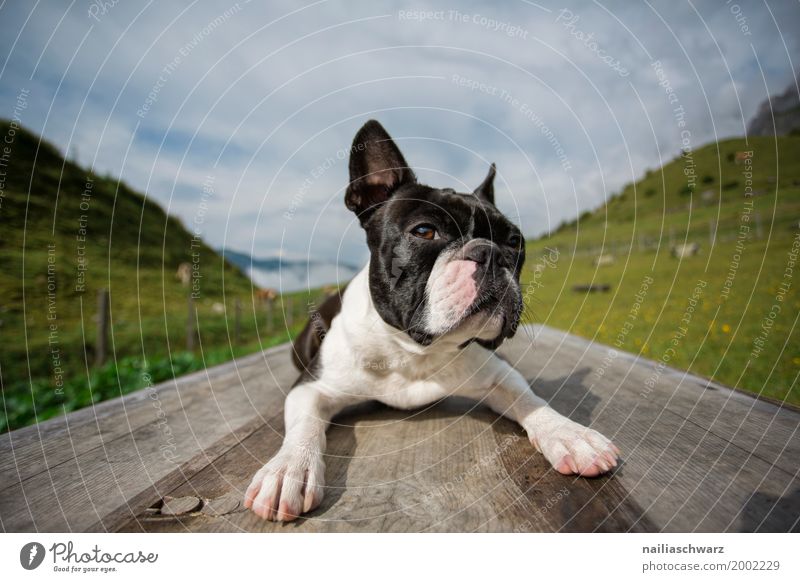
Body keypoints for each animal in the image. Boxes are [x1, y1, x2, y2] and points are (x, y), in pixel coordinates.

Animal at [244, 121, 620, 524]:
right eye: (424, 232)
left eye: (514, 242)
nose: (490, 252)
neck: (413, 349)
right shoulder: (312, 387)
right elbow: (305, 426)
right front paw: (289, 468)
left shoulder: (499, 374)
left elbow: (530, 399)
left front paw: (569, 433)